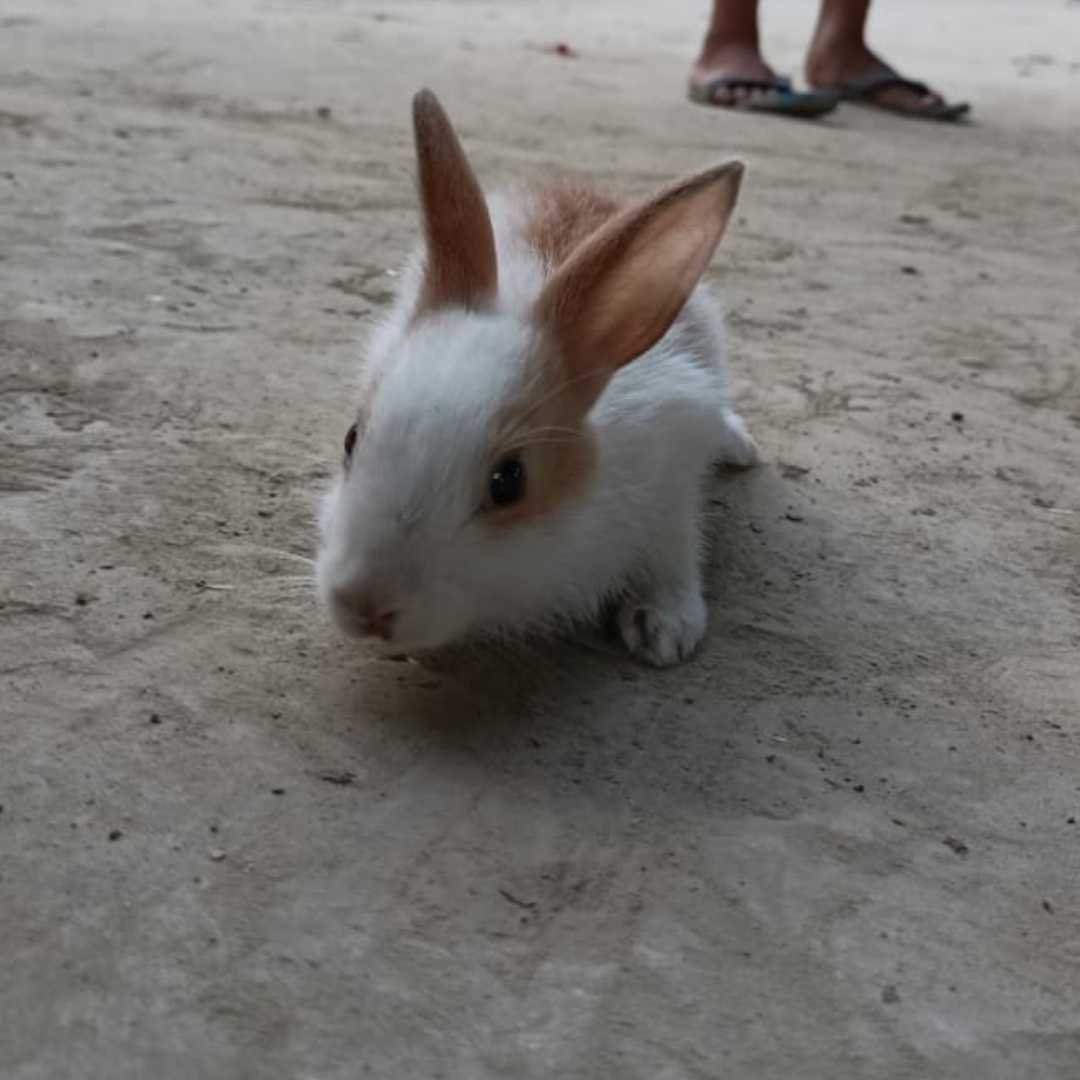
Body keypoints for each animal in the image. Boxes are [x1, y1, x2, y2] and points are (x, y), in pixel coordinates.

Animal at [315, 89, 757, 667]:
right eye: (351, 438)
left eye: (509, 481)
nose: (365, 604)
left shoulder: (670, 478)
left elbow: (674, 553)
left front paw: (664, 630)